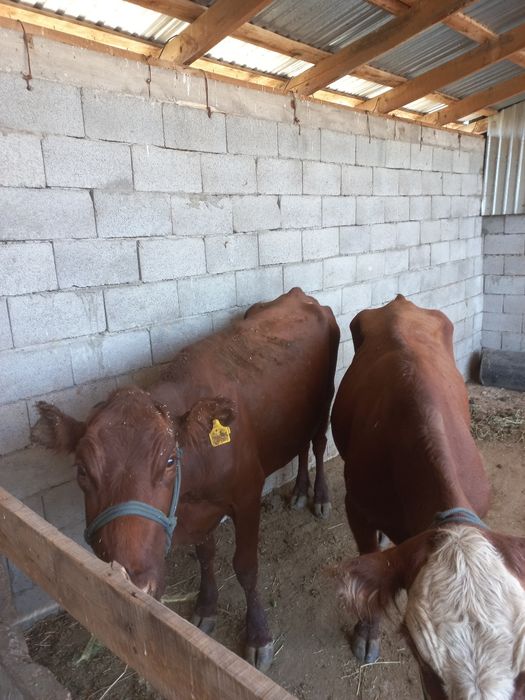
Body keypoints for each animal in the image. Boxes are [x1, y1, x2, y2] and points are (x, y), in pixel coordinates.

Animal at [32, 288, 339, 671]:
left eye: (169, 460)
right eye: (82, 470)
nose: (130, 583)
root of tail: (300, 294)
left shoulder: (247, 496)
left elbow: (246, 567)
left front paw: (258, 635)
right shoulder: (197, 513)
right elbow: (205, 556)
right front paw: (206, 607)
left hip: (324, 401)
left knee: (318, 442)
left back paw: (320, 497)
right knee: (299, 444)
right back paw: (298, 491)